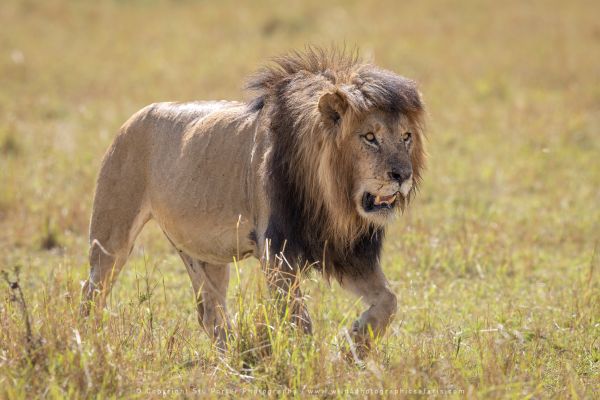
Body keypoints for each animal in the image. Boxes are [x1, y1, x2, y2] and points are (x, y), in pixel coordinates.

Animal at [81, 48, 426, 352]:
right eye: (370, 137)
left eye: (406, 137)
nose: (402, 175)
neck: (332, 201)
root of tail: (132, 119)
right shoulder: (276, 251)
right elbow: (298, 320)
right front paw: (307, 361)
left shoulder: (348, 252)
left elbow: (389, 301)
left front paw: (354, 345)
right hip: (111, 236)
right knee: (93, 291)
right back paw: (90, 345)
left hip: (205, 254)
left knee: (210, 312)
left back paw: (233, 358)